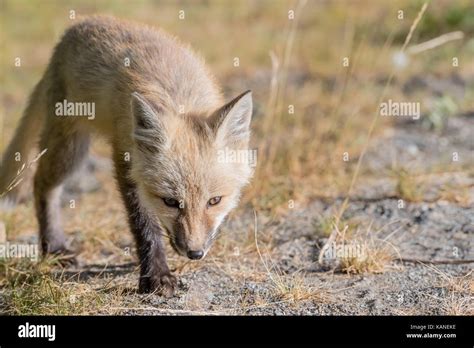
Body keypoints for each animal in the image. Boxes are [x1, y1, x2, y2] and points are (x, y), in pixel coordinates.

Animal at [0, 16, 254, 296]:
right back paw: (54, 247)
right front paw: (156, 275)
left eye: (214, 201)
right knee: (42, 184)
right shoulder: (126, 161)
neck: (178, 98)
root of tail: (76, 27)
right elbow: (144, 226)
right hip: (70, 150)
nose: (195, 253)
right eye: (170, 201)